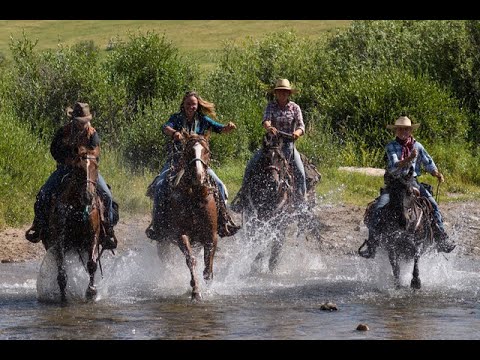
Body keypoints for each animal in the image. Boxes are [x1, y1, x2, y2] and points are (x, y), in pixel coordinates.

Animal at [45, 143, 105, 300]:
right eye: (79, 168)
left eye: (96, 167)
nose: (88, 196)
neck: (76, 207)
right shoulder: (60, 239)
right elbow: (61, 272)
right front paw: (63, 296)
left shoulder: (93, 235)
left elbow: (92, 264)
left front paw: (91, 291)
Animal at [148, 133, 219, 300]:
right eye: (188, 152)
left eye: (206, 151)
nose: (198, 176)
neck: (194, 197)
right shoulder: (181, 235)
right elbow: (191, 260)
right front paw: (195, 291)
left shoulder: (211, 236)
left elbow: (207, 269)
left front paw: (208, 289)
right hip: (163, 242)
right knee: (168, 262)